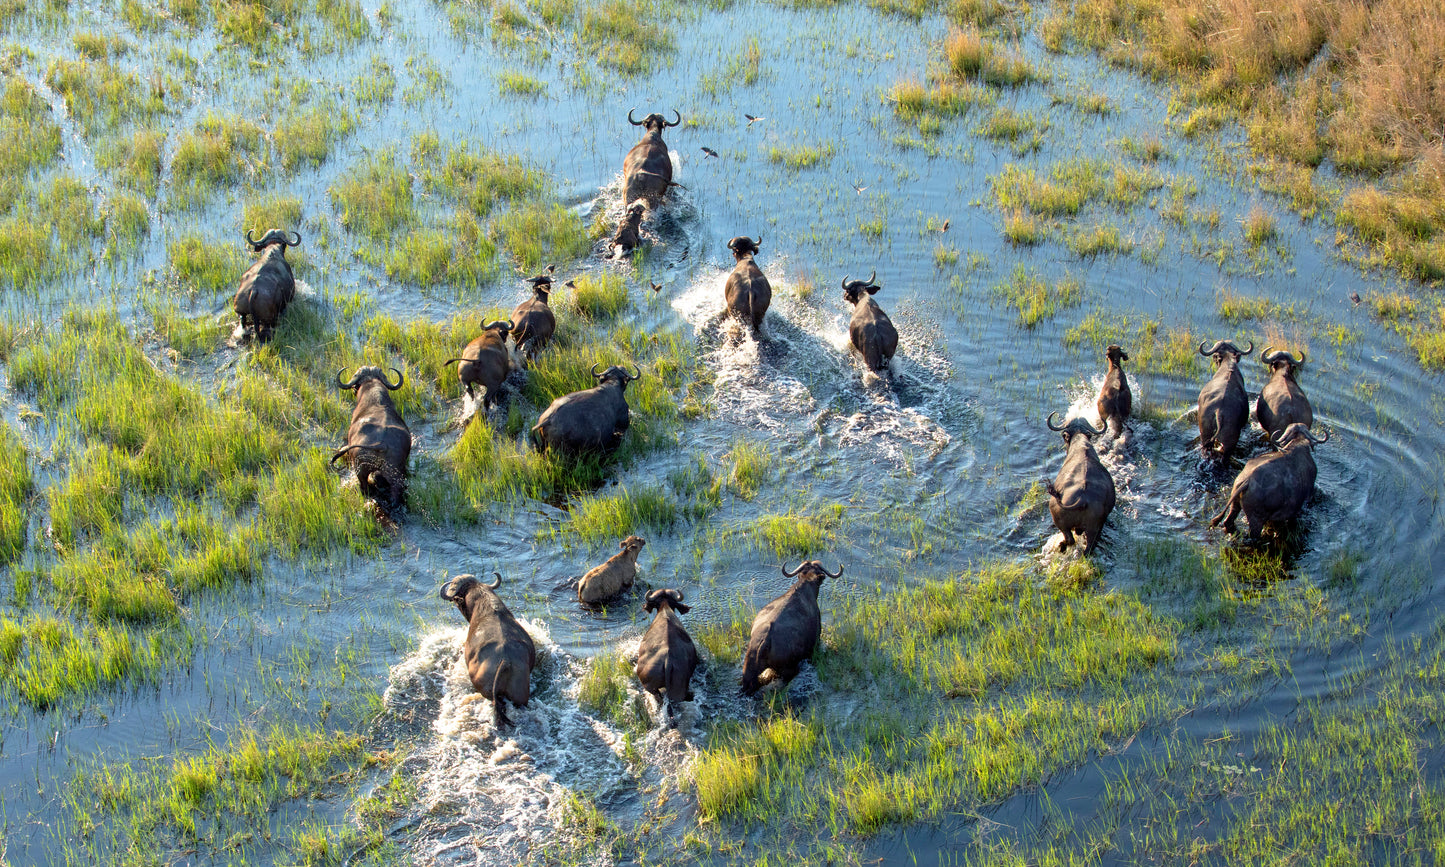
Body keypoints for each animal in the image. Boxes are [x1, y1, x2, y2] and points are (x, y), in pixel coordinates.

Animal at [1045, 412, 1116, 556]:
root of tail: (1082, 500)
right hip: (1094, 529)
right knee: (1088, 547)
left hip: (1061, 523)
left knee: (1070, 539)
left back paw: (1061, 546)